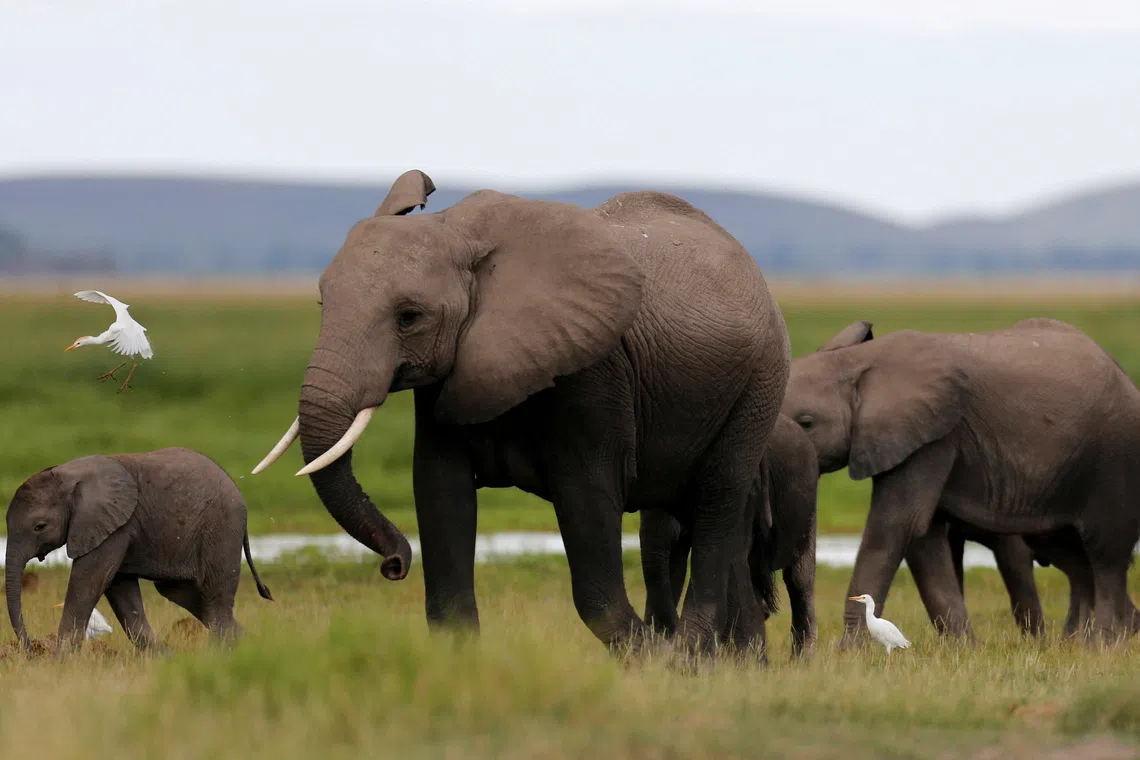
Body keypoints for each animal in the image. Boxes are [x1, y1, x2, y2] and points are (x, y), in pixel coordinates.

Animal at [5, 447, 273, 657]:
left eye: (40, 527)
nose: (30, 652)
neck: (68, 474)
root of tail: (238, 491)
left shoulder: (113, 525)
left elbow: (89, 582)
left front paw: (61, 665)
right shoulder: (115, 526)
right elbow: (120, 591)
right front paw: (168, 660)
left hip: (222, 527)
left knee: (215, 594)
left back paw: (220, 655)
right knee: (182, 593)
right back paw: (248, 644)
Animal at [251, 169, 791, 654]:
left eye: (409, 317)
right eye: (323, 304)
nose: (395, 565)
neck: (458, 231)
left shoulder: (592, 371)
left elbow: (587, 501)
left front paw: (649, 658)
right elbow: (439, 491)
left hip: (759, 384)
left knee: (717, 502)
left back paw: (687, 655)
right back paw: (731, 664)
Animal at [780, 318, 1140, 644]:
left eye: (807, 422)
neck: (857, 361)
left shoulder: (934, 437)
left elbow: (896, 526)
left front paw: (850, 652)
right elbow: (924, 537)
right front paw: (964, 648)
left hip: (1113, 458)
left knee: (1104, 554)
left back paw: (1103, 645)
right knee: (1079, 558)